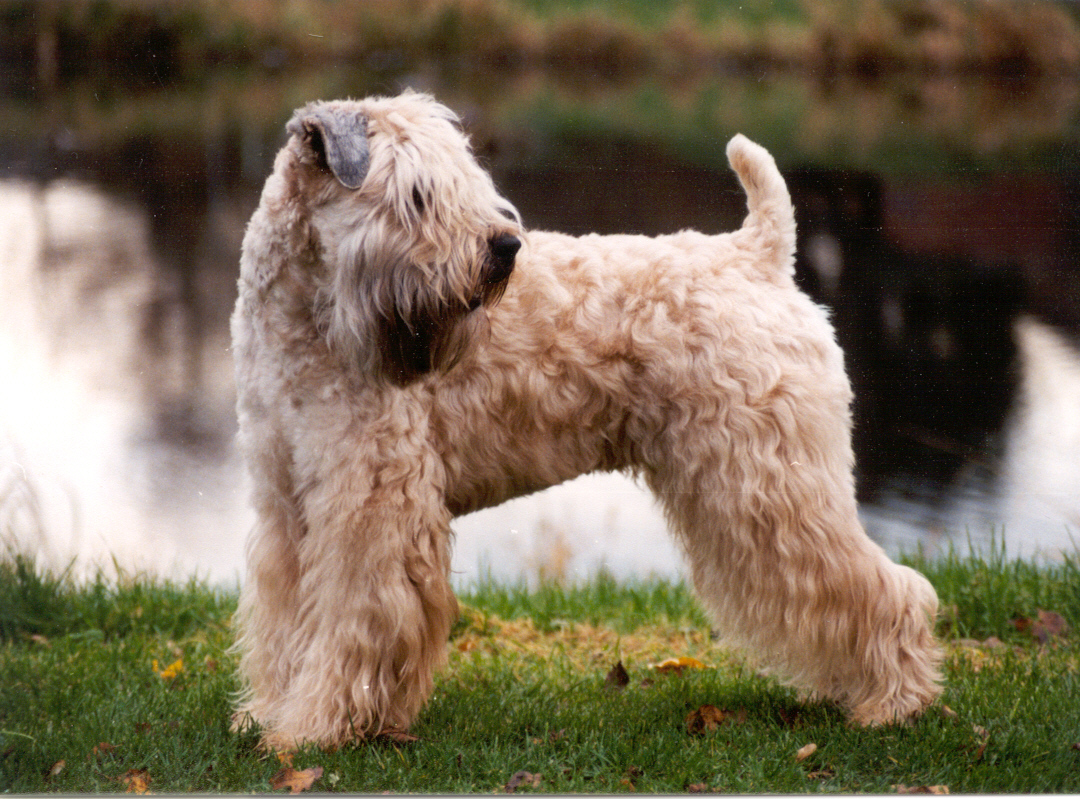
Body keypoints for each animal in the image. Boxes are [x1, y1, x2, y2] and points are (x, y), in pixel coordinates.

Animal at [232, 92, 941, 747]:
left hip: (767, 488)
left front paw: (316, 729)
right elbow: (285, 619)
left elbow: (352, 623)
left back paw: (894, 703)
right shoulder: (287, 503)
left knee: (881, 587)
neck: (305, 322)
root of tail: (757, 255)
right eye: (415, 195)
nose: (505, 247)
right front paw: (269, 712)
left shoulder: (369, 509)